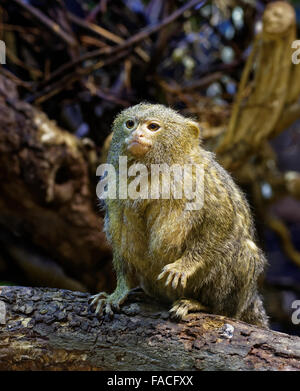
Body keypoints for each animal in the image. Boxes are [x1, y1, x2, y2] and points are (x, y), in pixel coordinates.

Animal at [89, 102, 270, 330]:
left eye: (153, 127)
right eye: (130, 124)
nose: (137, 134)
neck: (151, 172)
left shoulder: (201, 179)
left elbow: (224, 219)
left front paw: (184, 266)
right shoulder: (115, 192)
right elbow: (122, 244)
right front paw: (118, 293)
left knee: (242, 254)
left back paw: (201, 304)